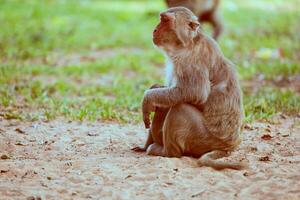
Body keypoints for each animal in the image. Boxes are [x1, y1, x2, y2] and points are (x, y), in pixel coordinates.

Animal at [132, 7, 245, 170]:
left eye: (165, 20)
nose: (154, 30)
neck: (185, 44)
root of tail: (228, 146)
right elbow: (167, 91)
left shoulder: (191, 61)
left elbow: (194, 93)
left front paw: (147, 99)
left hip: (204, 140)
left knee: (180, 108)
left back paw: (166, 151)